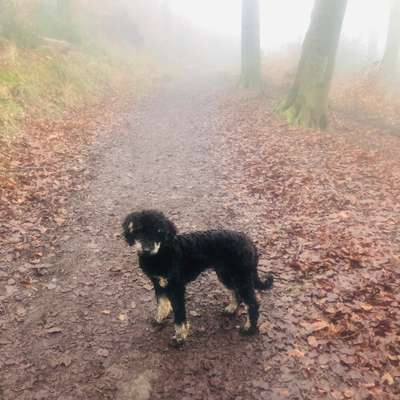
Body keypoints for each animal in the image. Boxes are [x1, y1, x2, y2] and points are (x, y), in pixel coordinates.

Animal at [122, 209, 272, 346]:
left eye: (159, 231)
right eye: (139, 230)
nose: (147, 249)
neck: (162, 254)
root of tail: (249, 242)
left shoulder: (176, 288)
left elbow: (179, 315)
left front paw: (180, 337)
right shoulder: (158, 282)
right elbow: (162, 303)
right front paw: (159, 318)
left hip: (241, 277)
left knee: (252, 303)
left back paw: (249, 329)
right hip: (226, 274)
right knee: (236, 293)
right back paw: (231, 309)